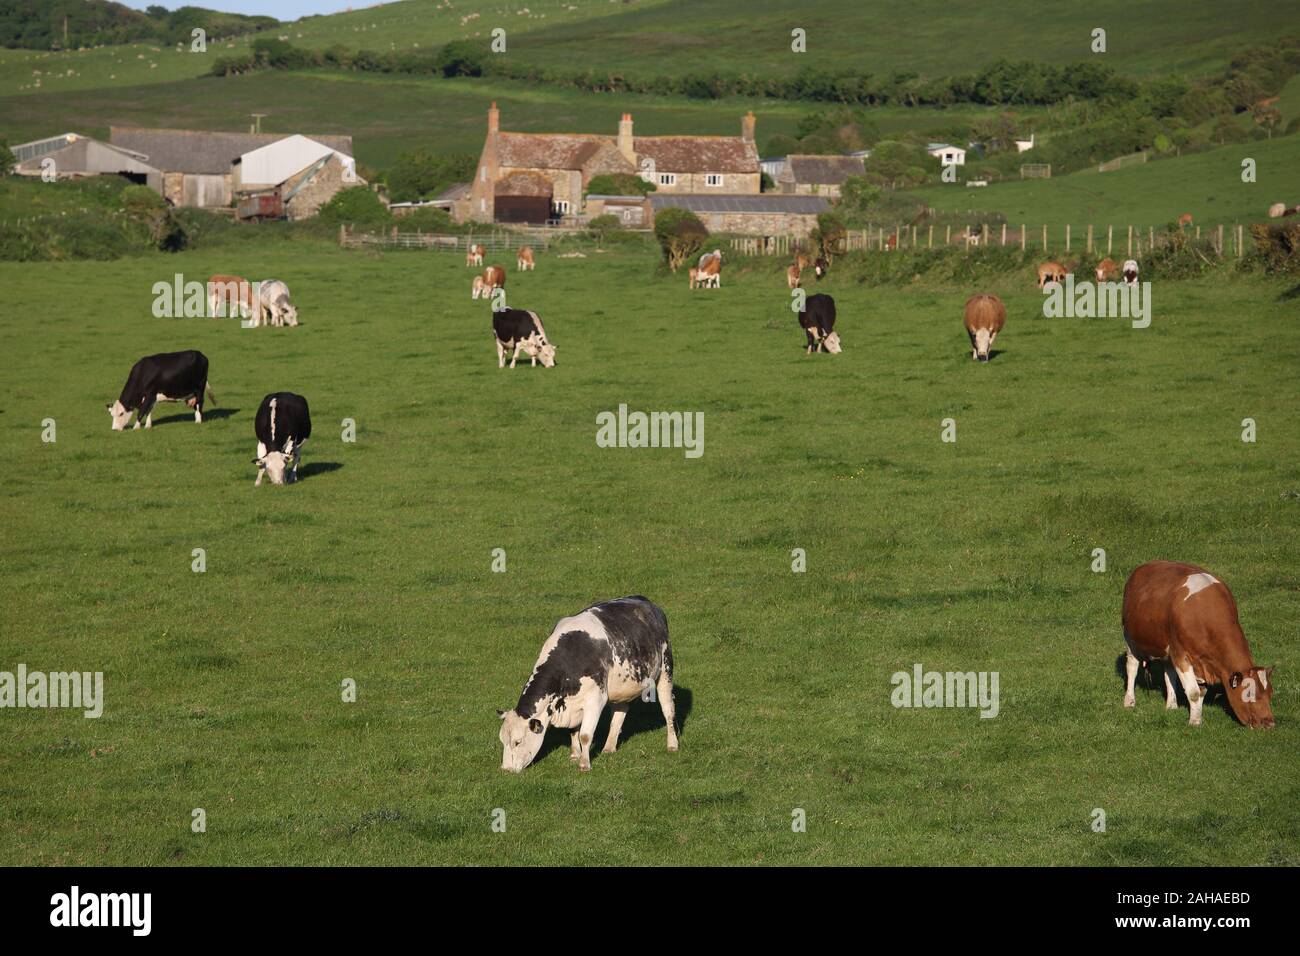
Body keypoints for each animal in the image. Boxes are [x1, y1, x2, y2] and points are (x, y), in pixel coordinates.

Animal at [496, 595, 681, 775]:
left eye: (518, 741)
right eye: (502, 740)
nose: (506, 769)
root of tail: (647, 602)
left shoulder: (595, 700)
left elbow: (585, 735)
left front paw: (584, 764)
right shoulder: (573, 704)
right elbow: (573, 731)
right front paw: (575, 755)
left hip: (665, 669)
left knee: (668, 709)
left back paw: (672, 744)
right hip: (621, 686)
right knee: (619, 714)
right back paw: (609, 747)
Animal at [1123, 556, 1274, 728]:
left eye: (1270, 693)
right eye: (1249, 694)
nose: (1270, 723)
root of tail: (1145, 566)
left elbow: (1201, 692)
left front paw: (1196, 717)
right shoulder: (1181, 654)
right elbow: (1194, 692)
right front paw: (1195, 722)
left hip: (1166, 648)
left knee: (1168, 671)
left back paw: (1172, 705)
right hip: (1130, 639)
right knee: (1132, 667)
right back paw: (1129, 701)